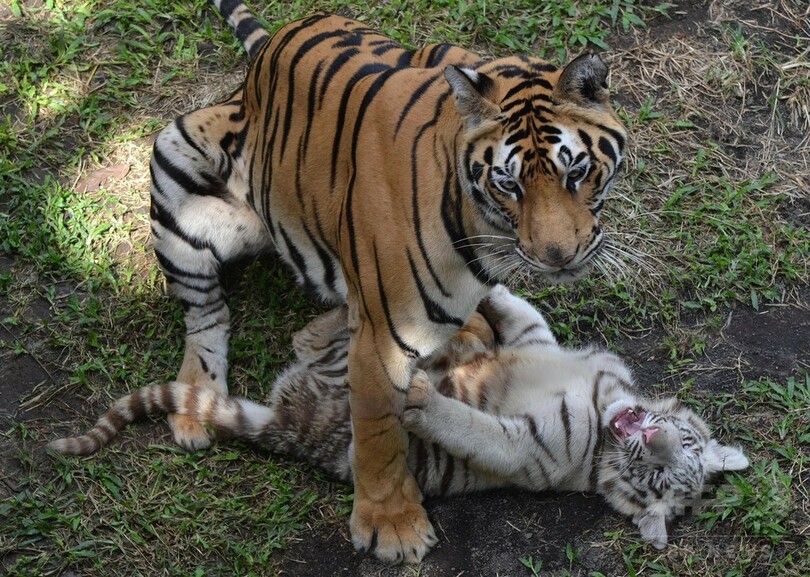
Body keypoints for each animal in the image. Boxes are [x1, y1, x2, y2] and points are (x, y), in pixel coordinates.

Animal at [147, 0, 624, 560]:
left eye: (577, 172)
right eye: (508, 183)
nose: (557, 257)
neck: (485, 227)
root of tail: (268, 51)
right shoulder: (381, 338)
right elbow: (378, 429)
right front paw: (391, 524)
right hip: (175, 161)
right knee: (206, 314)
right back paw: (193, 405)